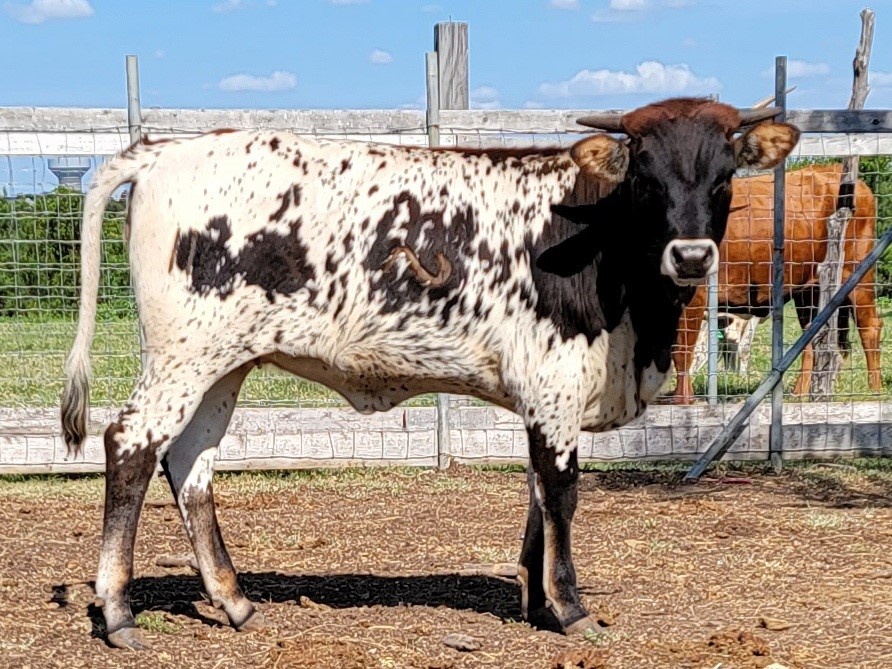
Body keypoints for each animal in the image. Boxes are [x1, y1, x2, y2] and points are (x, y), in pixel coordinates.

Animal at [60, 98, 798, 649]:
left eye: (725, 175)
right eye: (646, 177)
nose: (692, 255)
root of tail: (170, 149)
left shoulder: (542, 398)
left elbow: (536, 493)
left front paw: (535, 601)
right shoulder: (555, 385)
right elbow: (561, 492)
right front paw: (568, 606)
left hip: (222, 365)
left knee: (190, 463)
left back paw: (235, 600)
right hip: (183, 356)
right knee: (129, 446)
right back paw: (119, 611)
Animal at [671, 163, 882, 404]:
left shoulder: (694, 297)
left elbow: (682, 353)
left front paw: (683, 401)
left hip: (857, 273)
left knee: (870, 327)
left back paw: (874, 389)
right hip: (809, 290)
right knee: (811, 335)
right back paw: (799, 393)